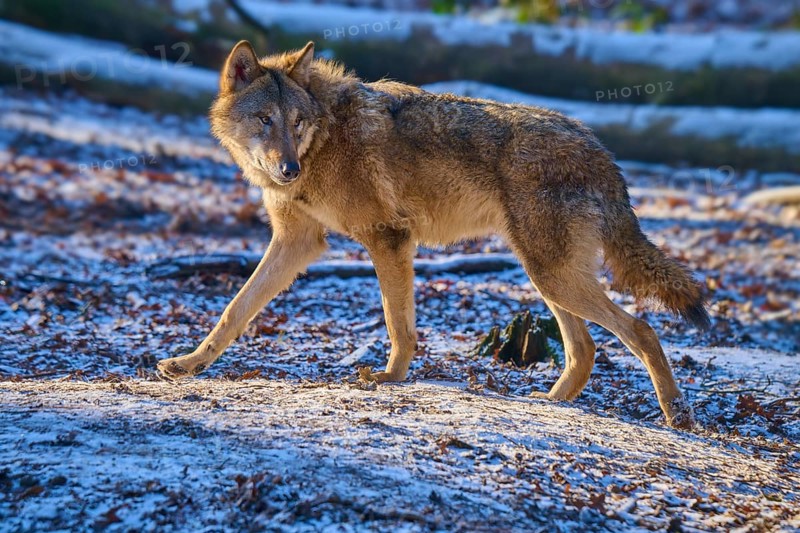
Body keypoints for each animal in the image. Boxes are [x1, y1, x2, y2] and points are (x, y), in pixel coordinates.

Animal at [157, 41, 710, 428]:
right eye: (264, 120)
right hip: (546, 276)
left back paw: (677, 415)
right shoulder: (298, 243)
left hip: (550, 275)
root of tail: (601, 150)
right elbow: (234, 310)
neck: (324, 141)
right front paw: (189, 364)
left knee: (641, 329)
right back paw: (551, 404)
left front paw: (389, 378)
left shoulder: (389, 238)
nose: (288, 169)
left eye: (296, 122)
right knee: (586, 349)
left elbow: (398, 325)